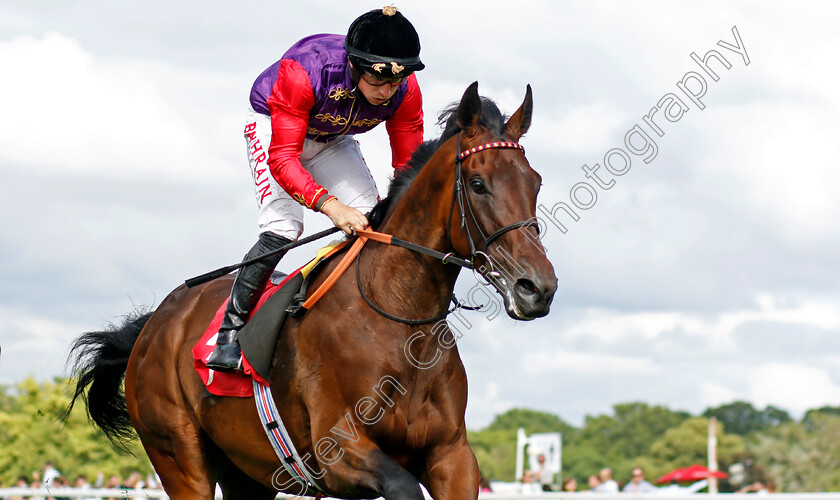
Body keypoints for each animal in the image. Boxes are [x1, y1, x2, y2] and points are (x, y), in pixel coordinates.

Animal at [65, 83, 556, 500]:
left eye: (535, 182)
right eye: (478, 184)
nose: (538, 287)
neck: (397, 319)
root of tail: (154, 324)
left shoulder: (452, 455)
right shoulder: (338, 451)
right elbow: (402, 486)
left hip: (248, 474)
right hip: (180, 461)